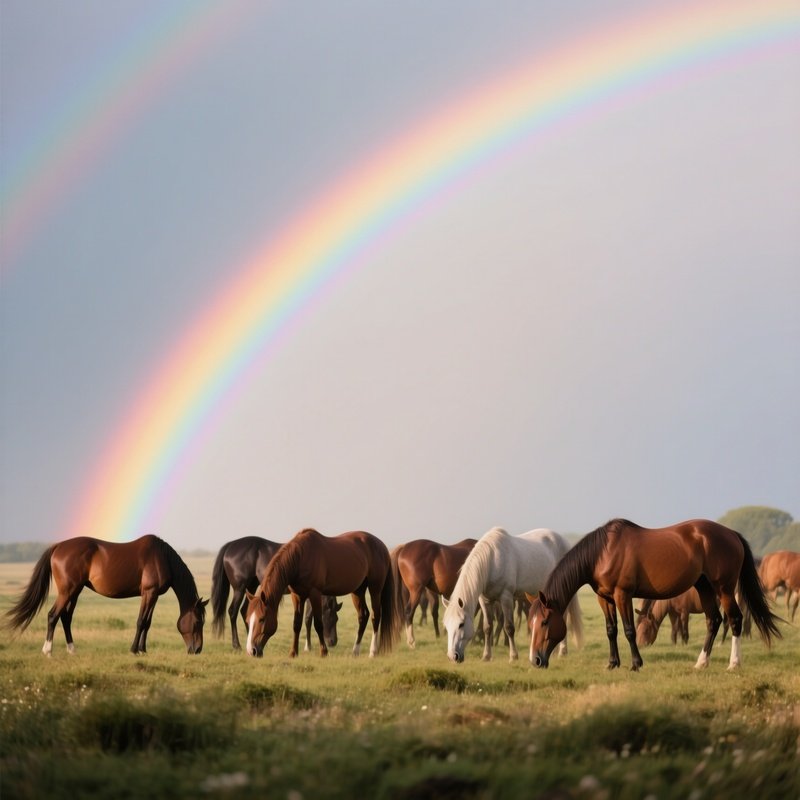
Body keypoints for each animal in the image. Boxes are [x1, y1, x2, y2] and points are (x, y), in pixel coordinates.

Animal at [5, 535, 207, 655]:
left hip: (75, 591)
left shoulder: (153, 595)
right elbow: (141, 621)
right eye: (198, 622)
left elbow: (147, 623)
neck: (162, 558)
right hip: (67, 591)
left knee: (66, 618)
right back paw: (48, 650)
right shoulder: (149, 593)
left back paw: (72, 650)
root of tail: (58, 546)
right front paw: (134, 650)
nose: (197, 649)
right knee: (53, 615)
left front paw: (143, 650)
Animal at [211, 536, 340, 651]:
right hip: (240, 588)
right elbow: (308, 618)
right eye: (331, 617)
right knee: (233, 611)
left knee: (245, 610)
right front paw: (308, 647)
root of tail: (230, 545)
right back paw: (237, 645)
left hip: (251, 587)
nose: (333, 642)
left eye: (337, 619)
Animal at [244, 529, 401, 658]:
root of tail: (382, 546)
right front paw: (293, 653)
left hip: (375, 588)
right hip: (358, 591)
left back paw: (372, 652)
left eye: (262, 619)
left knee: (376, 616)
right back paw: (355, 651)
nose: (252, 651)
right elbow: (296, 624)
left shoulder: (315, 594)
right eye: (248, 620)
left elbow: (318, 623)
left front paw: (323, 652)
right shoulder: (297, 596)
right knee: (363, 616)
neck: (301, 556)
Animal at [442, 527, 582, 663]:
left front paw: (513, 656)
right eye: (446, 625)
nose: (452, 656)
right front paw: (486, 656)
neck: (492, 560)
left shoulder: (506, 598)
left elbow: (509, 627)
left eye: (461, 624)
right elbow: (487, 627)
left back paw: (562, 652)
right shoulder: (485, 600)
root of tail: (564, 542)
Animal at [529, 518, 780, 672]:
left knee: (734, 619)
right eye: (530, 623)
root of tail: (732, 534)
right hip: (704, 587)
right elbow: (611, 631)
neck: (603, 552)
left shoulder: (622, 595)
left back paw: (734, 663)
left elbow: (629, 630)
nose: (536, 660)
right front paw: (612, 663)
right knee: (714, 620)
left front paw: (636, 664)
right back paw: (701, 663)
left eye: (544, 621)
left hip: (724, 588)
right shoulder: (605, 598)